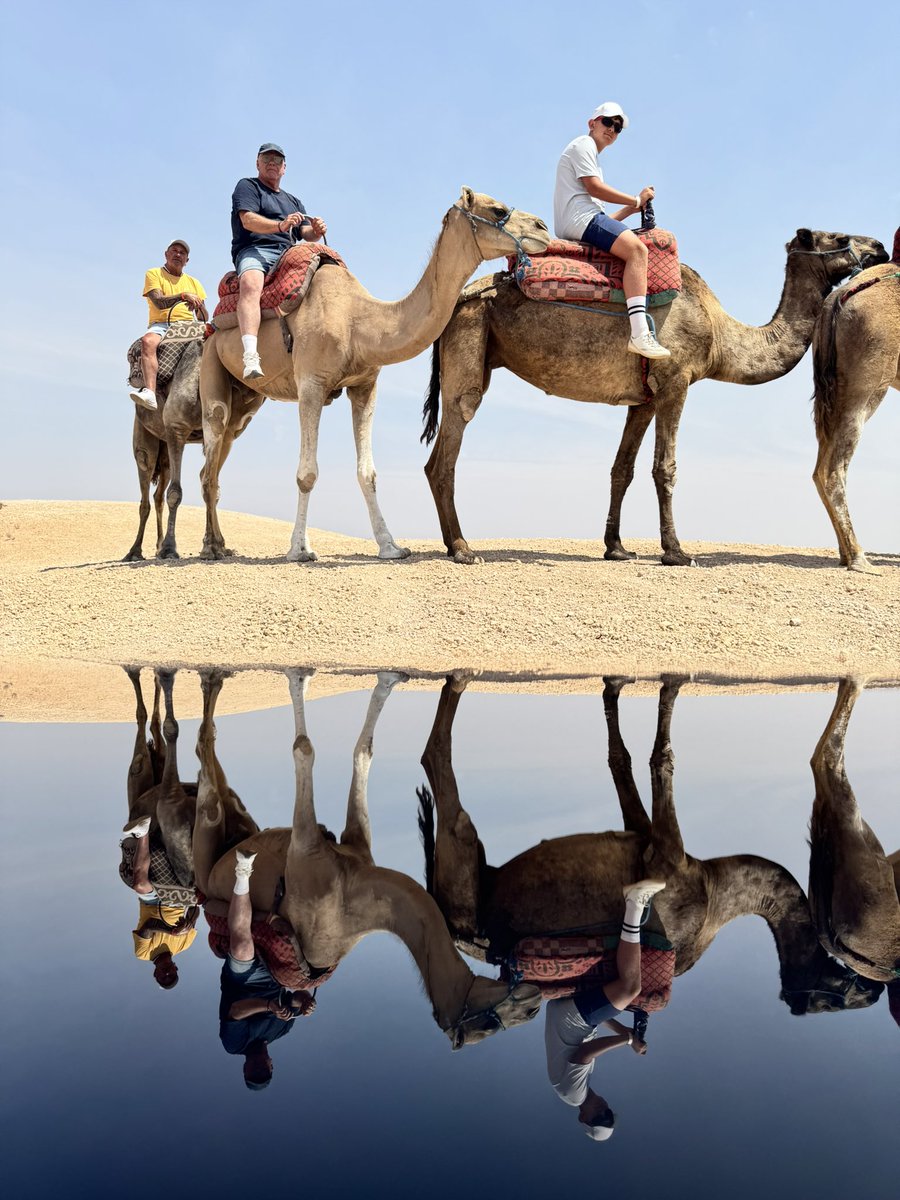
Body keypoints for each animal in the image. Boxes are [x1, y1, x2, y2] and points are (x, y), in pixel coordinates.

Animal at [198, 189, 550, 562]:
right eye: (497, 209)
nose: (542, 228)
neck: (358, 321)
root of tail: (210, 327)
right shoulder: (311, 384)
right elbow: (307, 473)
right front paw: (298, 549)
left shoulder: (364, 386)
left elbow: (368, 473)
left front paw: (390, 546)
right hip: (212, 367)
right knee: (211, 455)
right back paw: (209, 547)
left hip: (248, 398)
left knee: (216, 464)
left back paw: (220, 543)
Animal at [201, 669, 541, 1048]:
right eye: (485, 1028)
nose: (534, 1003)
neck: (350, 898)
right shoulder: (305, 850)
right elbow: (305, 747)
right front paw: (298, 677)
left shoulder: (351, 843)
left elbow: (362, 751)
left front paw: (387, 679)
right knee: (204, 755)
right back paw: (211, 685)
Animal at [417, 673, 882, 1015]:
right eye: (831, 1001)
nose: (873, 989)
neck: (715, 891)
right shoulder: (666, 859)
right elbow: (663, 758)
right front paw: (670, 684)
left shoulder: (643, 836)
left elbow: (620, 758)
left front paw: (614, 685)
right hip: (465, 866)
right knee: (439, 770)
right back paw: (459, 677)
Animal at [421, 228, 888, 564]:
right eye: (835, 235)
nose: (880, 246)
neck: (720, 336)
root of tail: (456, 300)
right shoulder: (675, 382)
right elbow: (665, 468)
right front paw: (676, 551)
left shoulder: (643, 398)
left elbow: (621, 469)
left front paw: (616, 548)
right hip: (471, 333)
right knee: (451, 439)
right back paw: (462, 548)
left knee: (434, 456)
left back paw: (452, 542)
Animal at [811, 261, 899, 573]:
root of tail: (836, 299)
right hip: (870, 380)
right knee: (833, 468)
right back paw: (859, 558)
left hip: (833, 391)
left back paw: (845, 554)